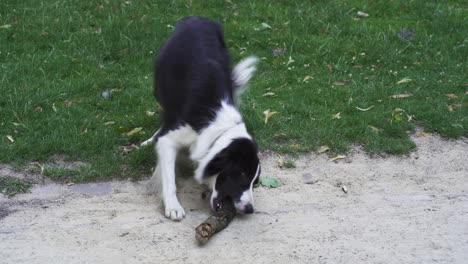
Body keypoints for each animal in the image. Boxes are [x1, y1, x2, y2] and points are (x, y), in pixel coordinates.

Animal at [141, 17, 262, 221]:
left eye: (255, 181)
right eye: (241, 175)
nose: (249, 209)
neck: (219, 128)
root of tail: (197, 18)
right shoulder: (170, 139)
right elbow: (169, 176)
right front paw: (173, 207)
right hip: (160, 86)